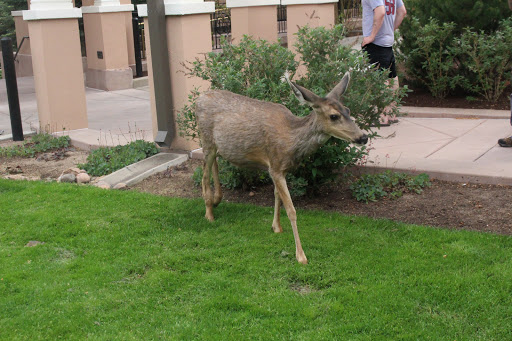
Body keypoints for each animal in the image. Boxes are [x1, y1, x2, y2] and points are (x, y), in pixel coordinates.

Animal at [196, 71, 368, 262]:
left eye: (348, 111)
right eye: (333, 116)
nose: (363, 137)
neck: (291, 140)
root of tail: (198, 99)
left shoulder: (278, 167)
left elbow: (277, 195)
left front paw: (276, 227)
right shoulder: (276, 166)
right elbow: (291, 209)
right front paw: (301, 255)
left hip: (217, 145)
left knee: (214, 163)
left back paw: (217, 199)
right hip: (206, 137)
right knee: (204, 175)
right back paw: (209, 213)